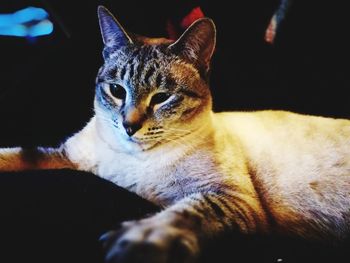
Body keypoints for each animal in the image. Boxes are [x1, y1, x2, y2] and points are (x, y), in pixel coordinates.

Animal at [0, 5, 350, 263]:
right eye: (117, 91)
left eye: (162, 97)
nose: (129, 126)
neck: (133, 161)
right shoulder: (66, 157)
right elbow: (16, 156)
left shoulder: (229, 196)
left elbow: (183, 213)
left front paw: (137, 240)